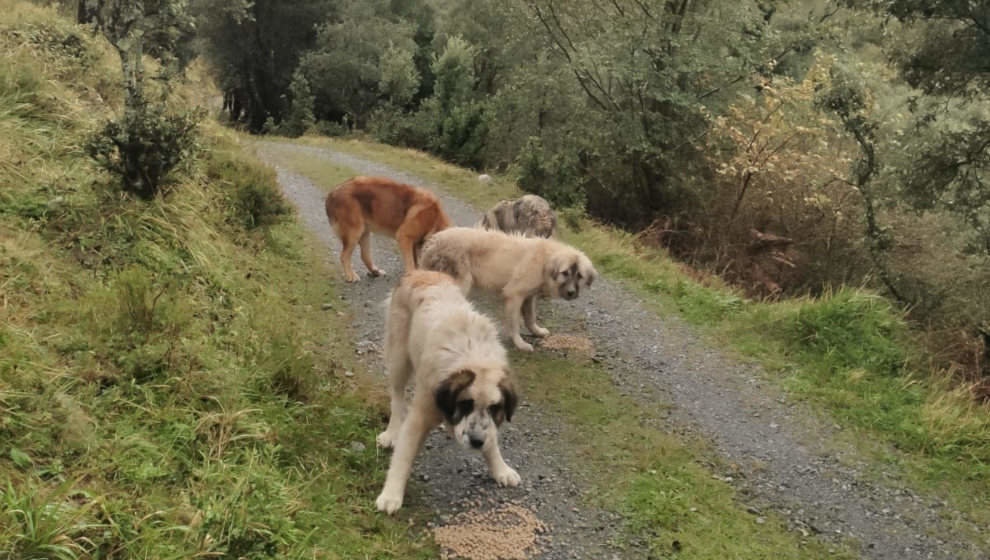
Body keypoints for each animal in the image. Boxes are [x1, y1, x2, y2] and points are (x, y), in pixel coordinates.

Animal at [326, 177, 454, 282]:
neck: (435, 218)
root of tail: (333, 192)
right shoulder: (404, 237)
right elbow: (411, 264)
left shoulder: (413, 244)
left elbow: (415, 262)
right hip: (354, 232)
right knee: (344, 256)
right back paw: (350, 276)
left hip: (364, 232)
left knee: (364, 255)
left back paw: (375, 271)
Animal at [376, 270, 524, 516]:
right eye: (465, 404)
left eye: (495, 408)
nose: (476, 442)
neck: (473, 357)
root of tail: (418, 272)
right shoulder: (420, 415)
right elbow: (403, 457)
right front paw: (391, 495)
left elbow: (491, 440)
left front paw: (500, 469)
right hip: (399, 357)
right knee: (397, 397)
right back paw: (392, 432)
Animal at [418, 226, 596, 350]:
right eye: (565, 273)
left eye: (579, 275)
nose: (571, 293)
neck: (544, 261)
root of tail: (433, 242)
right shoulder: (514, 295)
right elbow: (515, 323)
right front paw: (520, 343)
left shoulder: (529, 297)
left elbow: (530, 318)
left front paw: (537, 332)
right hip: (462, 282)